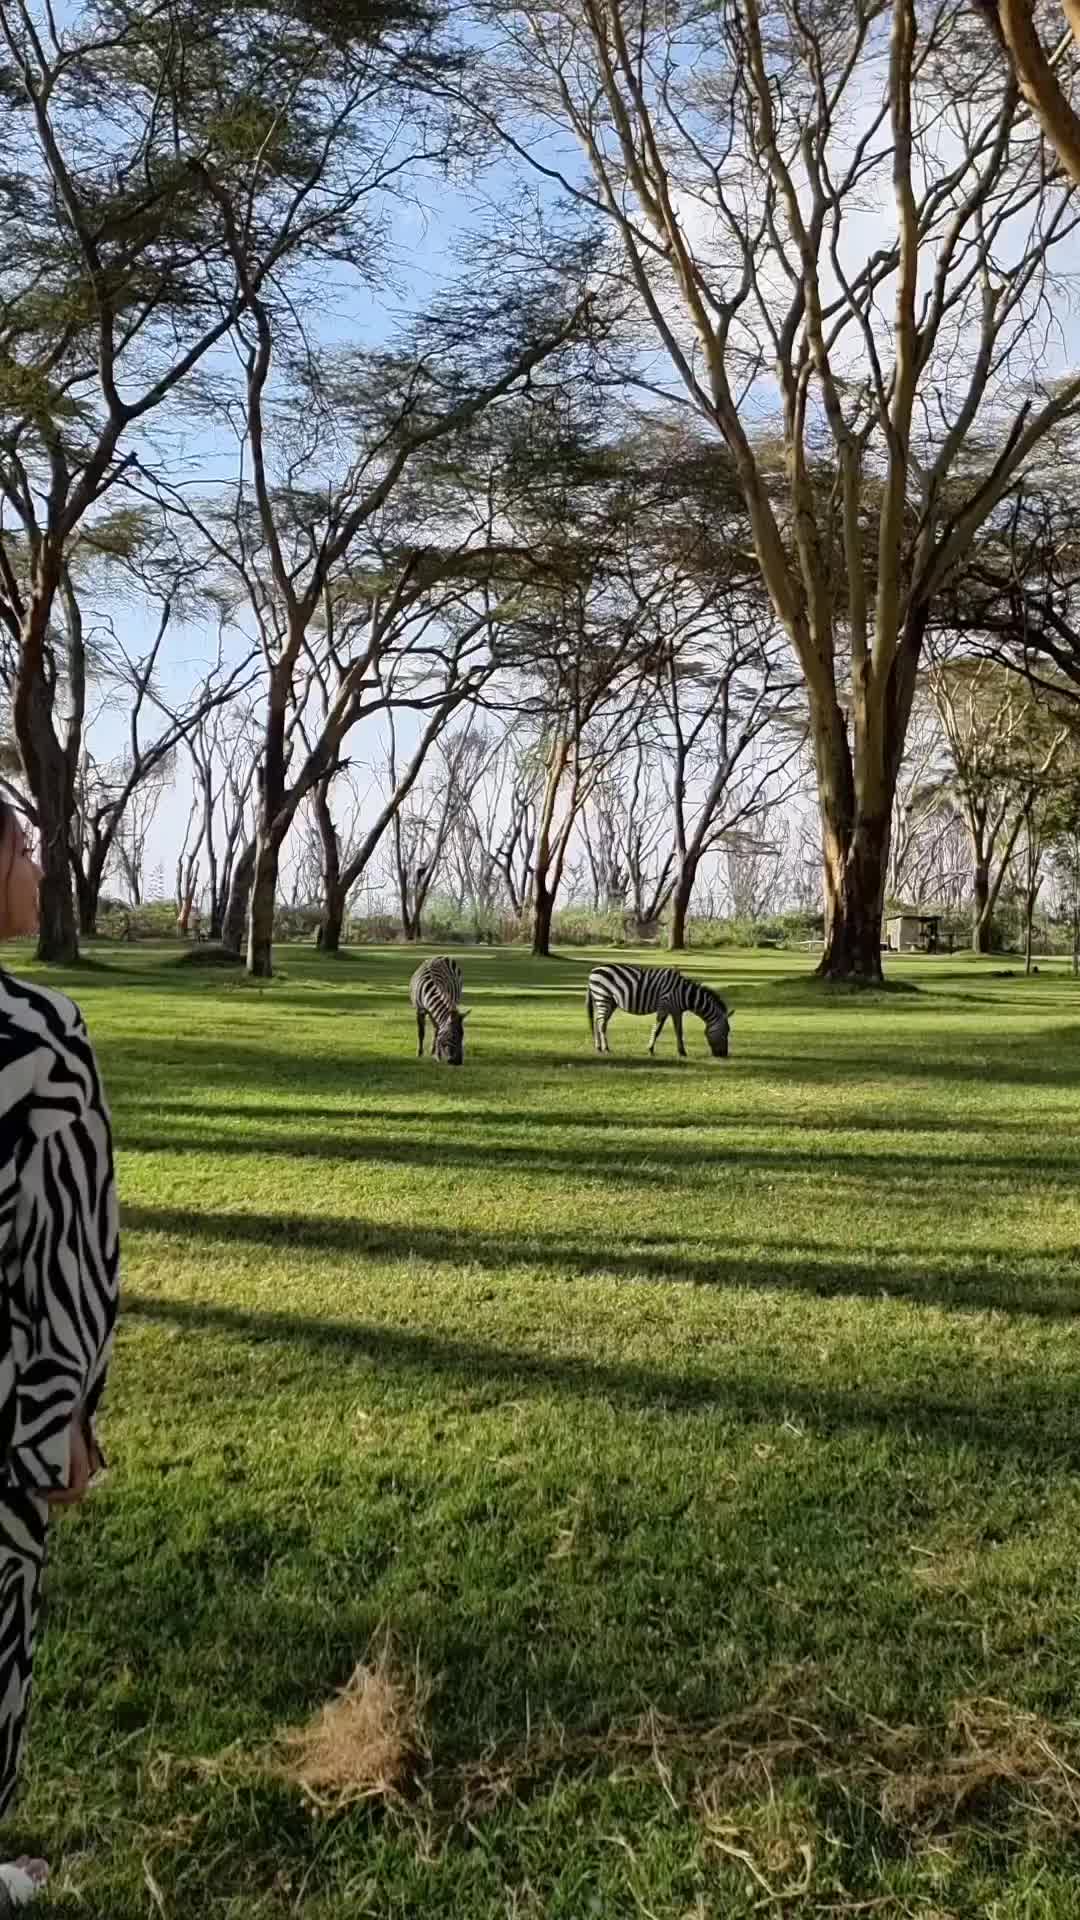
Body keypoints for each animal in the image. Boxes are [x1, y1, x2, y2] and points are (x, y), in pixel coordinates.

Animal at [584, 960, 726, 1067]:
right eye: (726, 1033)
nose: (724, 1056)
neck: (684, 994)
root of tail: (593, 971)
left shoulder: (676, 1011)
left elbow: (679, 1031)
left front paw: (682, 1052)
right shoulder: (664, 1006)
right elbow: (657, 1029)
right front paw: (650, 1050)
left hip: (609, 1001)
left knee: (597, 1021)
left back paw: (598, 1047)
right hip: (603, 997)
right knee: (601, 1024)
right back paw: (606, 1049)